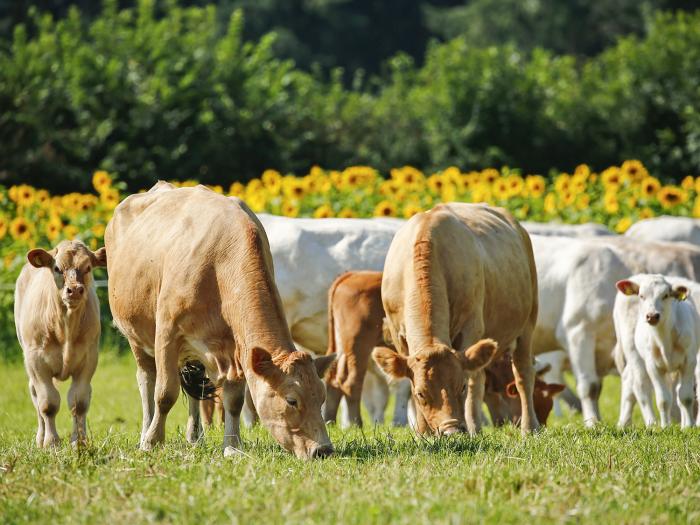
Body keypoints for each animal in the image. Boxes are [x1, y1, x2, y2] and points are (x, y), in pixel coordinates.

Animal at [14, 241, 106, 446]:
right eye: (57, 268)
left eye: (88, 268)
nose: (75, 290)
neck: (65, 328)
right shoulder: (36, 361)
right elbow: (48, 403)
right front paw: (51, 443)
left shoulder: (89, 359)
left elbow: (79, 402)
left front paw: (79, 442)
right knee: (35, 395)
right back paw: (40, 438)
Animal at [106, 181, 336, 458]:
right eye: (292, 400)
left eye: (322, 397)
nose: (323, 449)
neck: (219, 264)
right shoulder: (167, 332)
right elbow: (165, 393)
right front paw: (152, 441)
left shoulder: (236, 346)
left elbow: (234, 401)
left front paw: (232, 446)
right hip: (136, 336)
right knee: (146, 381)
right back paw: (145, 432)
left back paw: (195, 436)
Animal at [374, 201, 540, 434]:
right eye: (421, 393)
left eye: (459, 387)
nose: (451, 430)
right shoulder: (398, 333)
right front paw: (423, 433)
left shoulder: (471, 327)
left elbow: (472, 381)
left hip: (528, 322)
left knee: (522, 373)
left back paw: (526, 427)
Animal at [612, 274, 700, 426]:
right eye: (641, 296)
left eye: (665, 295)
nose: (652, 316)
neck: (664, 340)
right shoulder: (653, 366)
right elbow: (663, 400)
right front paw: (665, 427)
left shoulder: (689, 361)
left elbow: (686, 396)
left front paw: (689, 426)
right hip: (633, 352)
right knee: (641, 387)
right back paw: (651, 423)